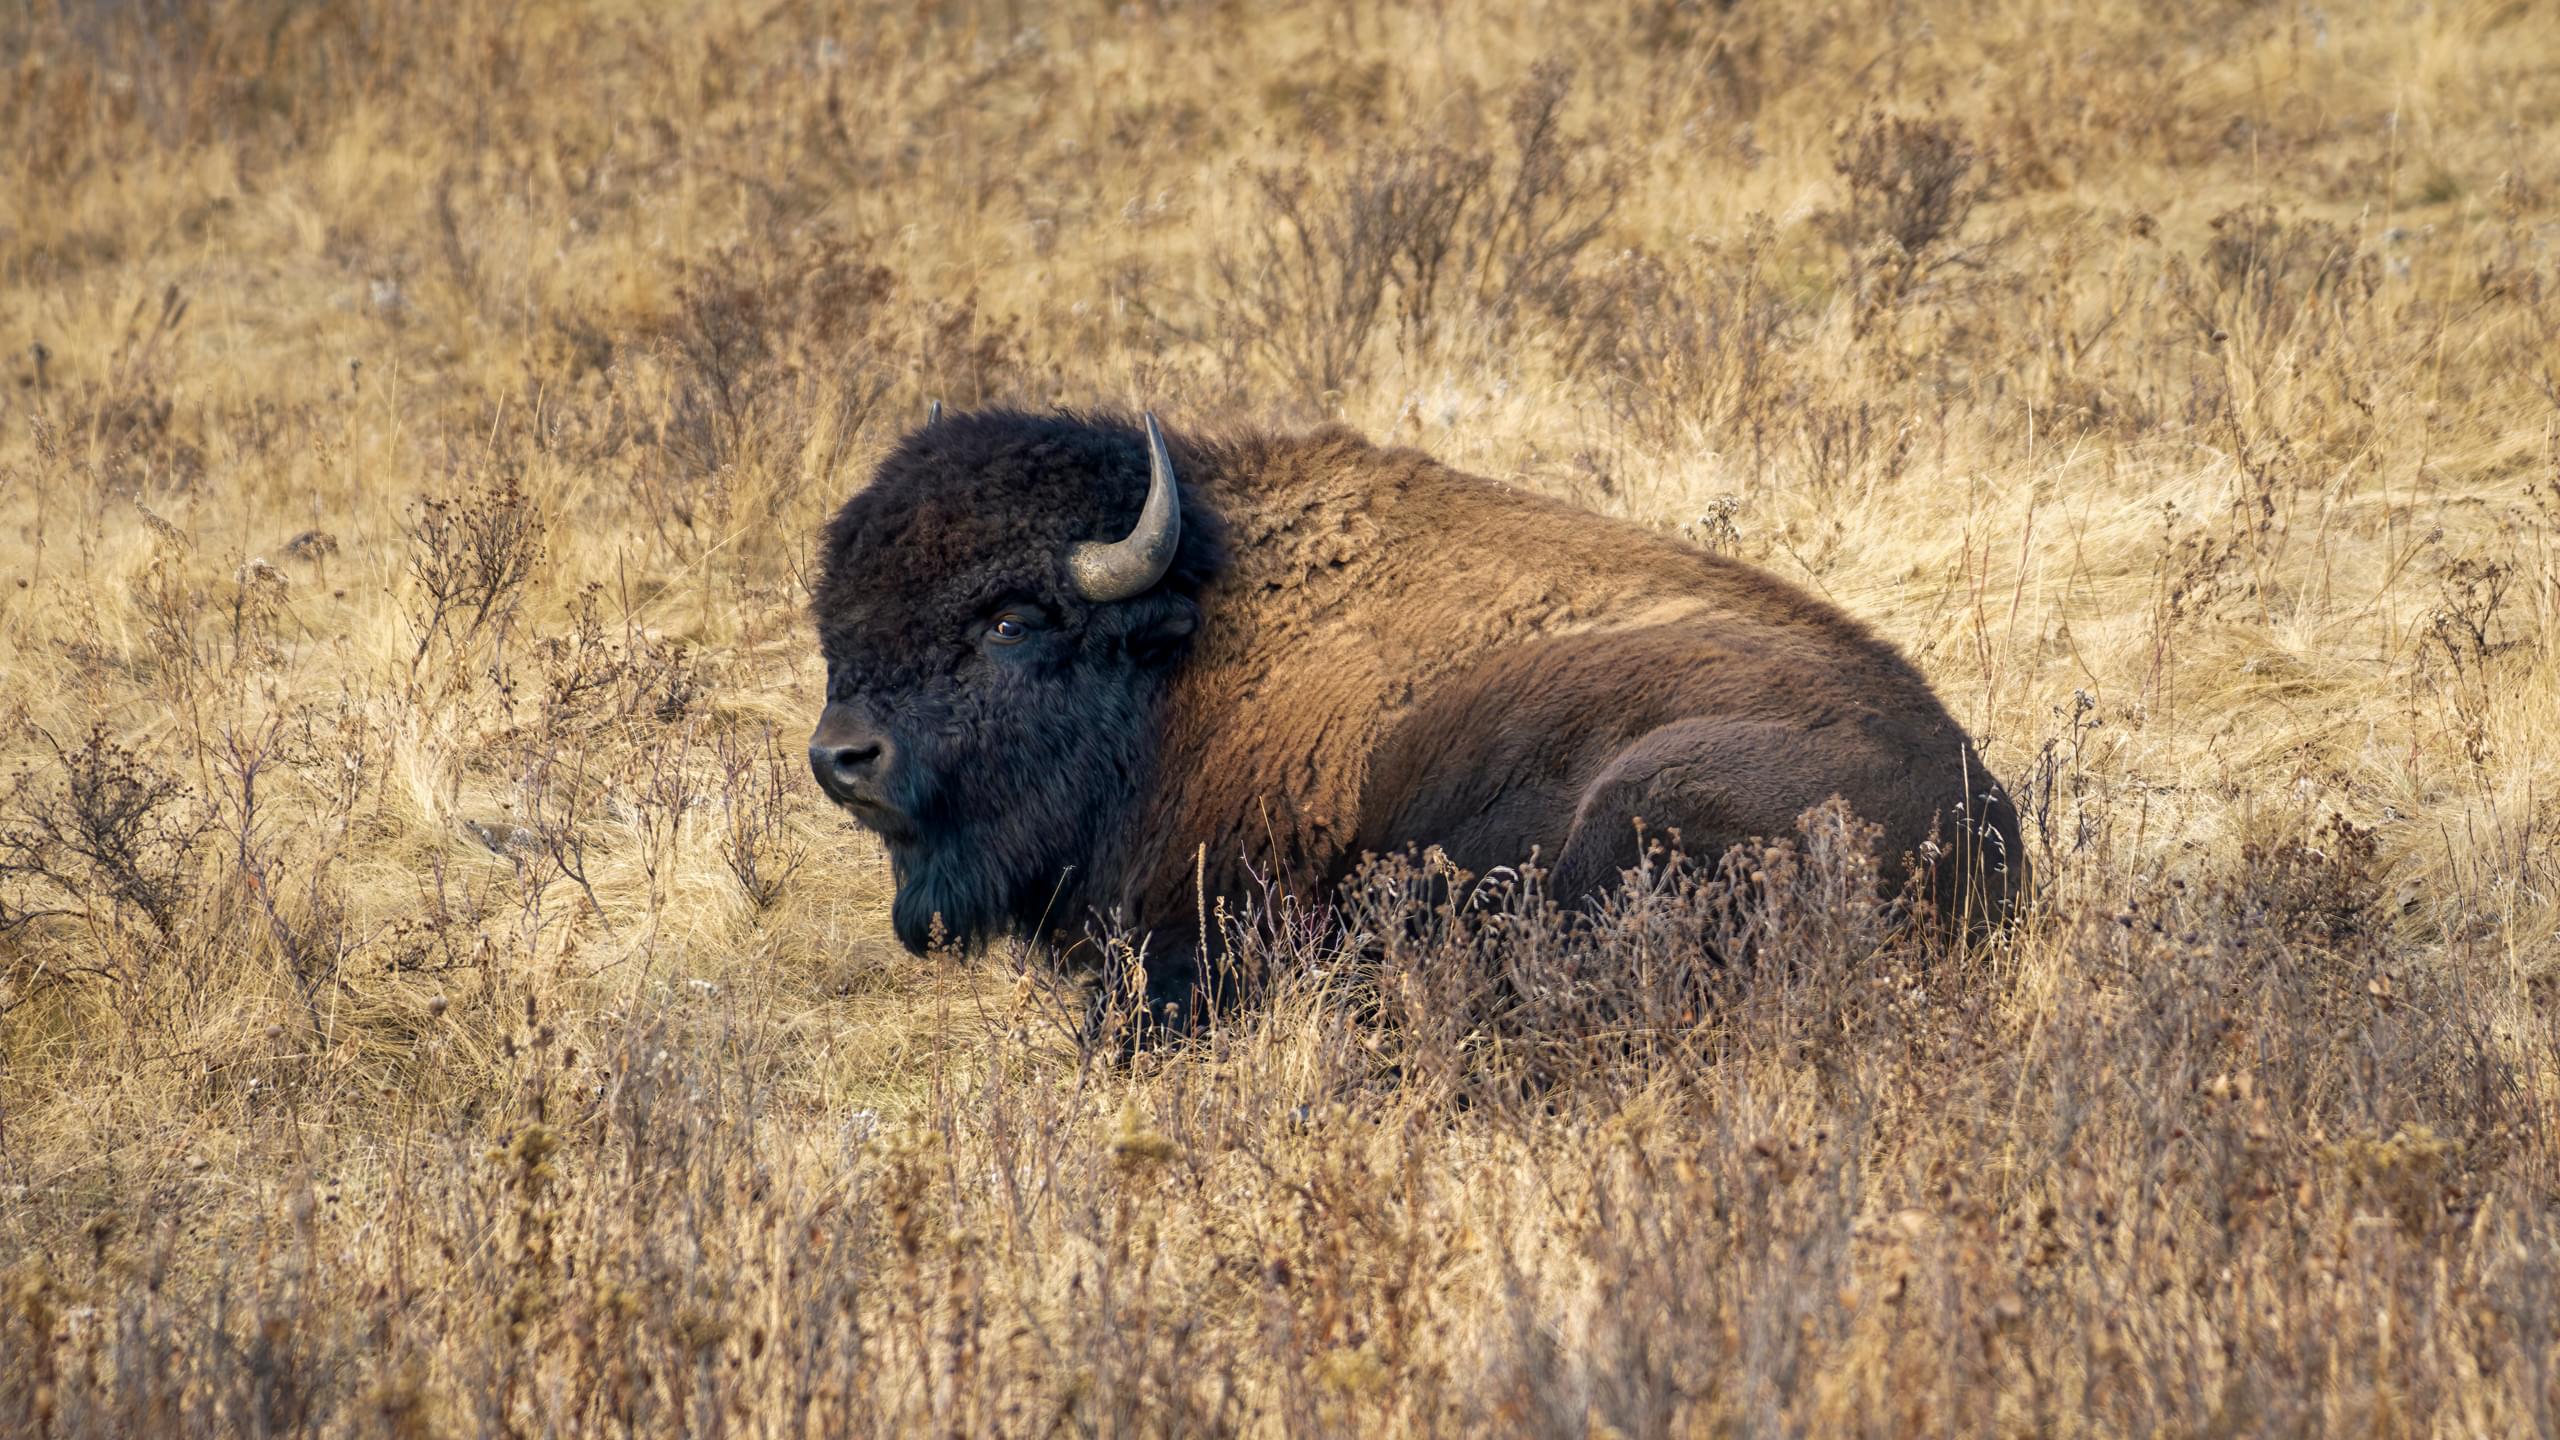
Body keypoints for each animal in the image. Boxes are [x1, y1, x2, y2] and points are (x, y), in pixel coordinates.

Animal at [810, 409, 2025, 1026]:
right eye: (837, 616)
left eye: (1011, 620)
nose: (842, 758)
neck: (1192, 645)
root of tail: (1987, 830)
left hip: (1646, 798)